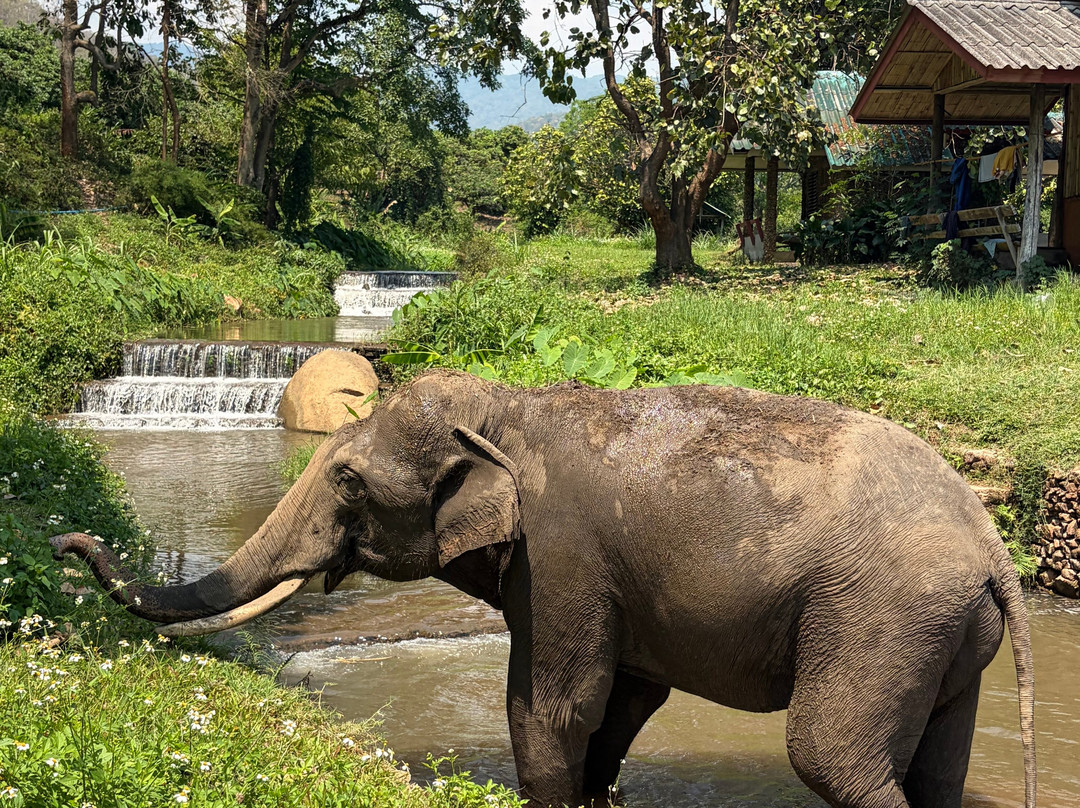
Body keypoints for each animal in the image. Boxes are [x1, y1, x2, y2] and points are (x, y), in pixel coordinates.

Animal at [52, 369, 1035, 808]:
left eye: (348, 484)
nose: (68, 541)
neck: (506, 406)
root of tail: (992, 541)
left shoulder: (562, 555)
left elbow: (555, 706)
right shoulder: (611, 583)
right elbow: (627, 700)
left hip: (878, 618)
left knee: (834, 758)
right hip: (943, 633)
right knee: (937, 765)